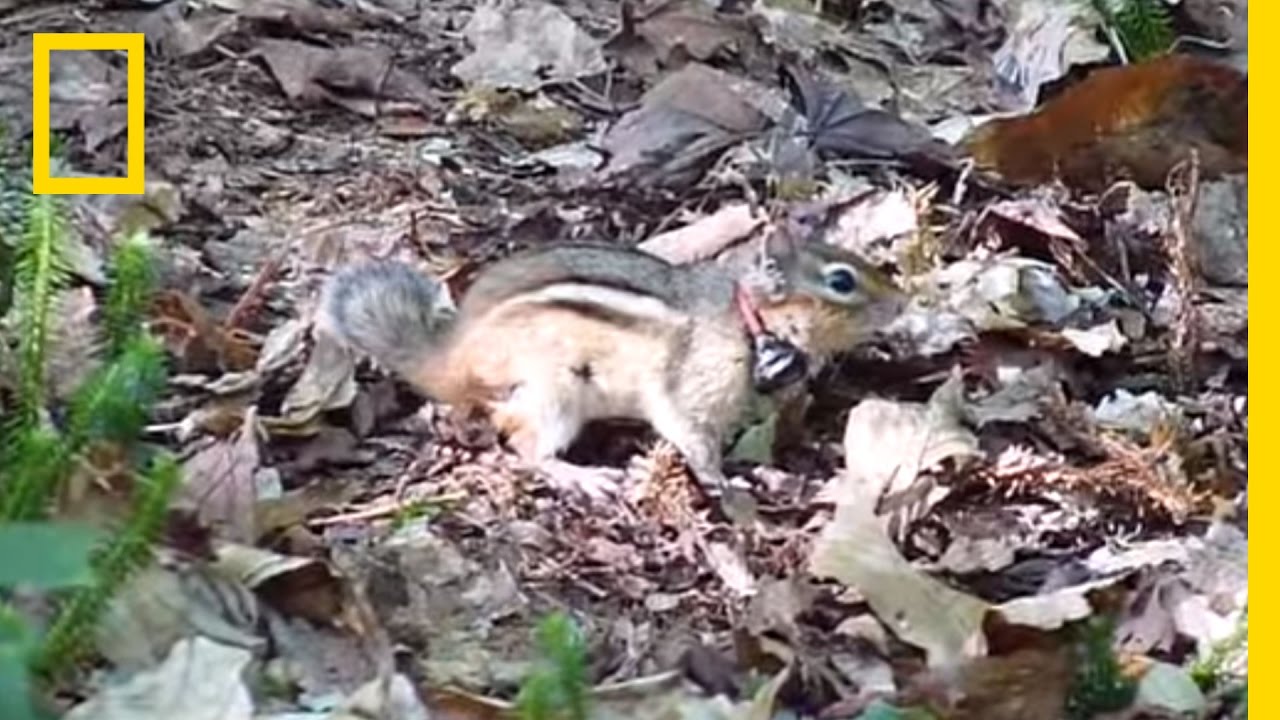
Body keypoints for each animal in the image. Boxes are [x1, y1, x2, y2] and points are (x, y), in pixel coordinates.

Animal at [317, 235, 905, 498]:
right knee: (525, 447)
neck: (743, 312)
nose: (903, 303)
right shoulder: (691, 385)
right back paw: (583, 475)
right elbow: (691, 434)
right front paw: (723, 479)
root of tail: (452, 357)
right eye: (842, 281)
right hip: (554, 393)